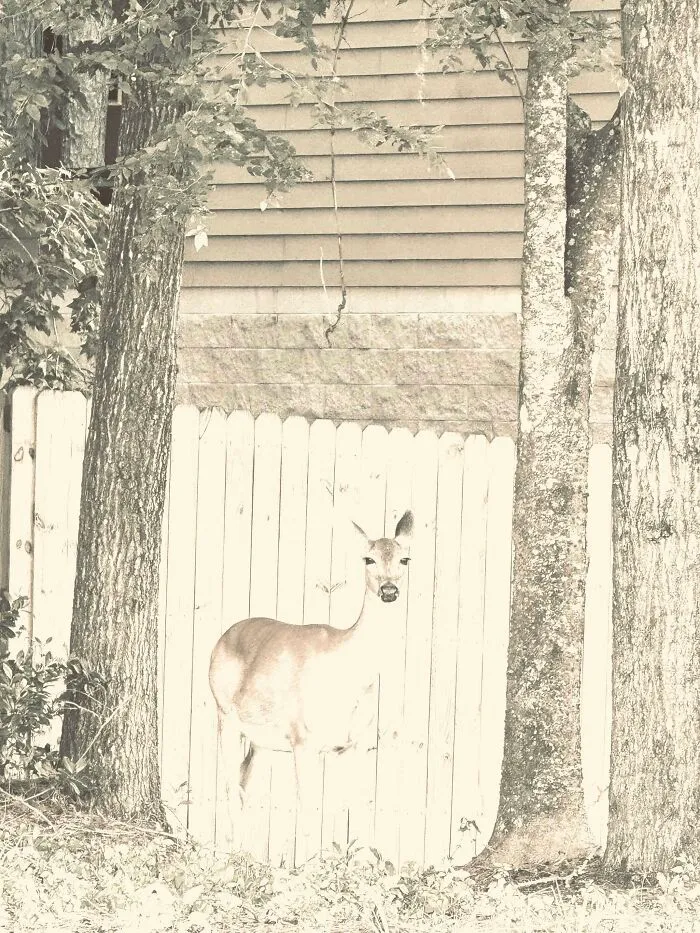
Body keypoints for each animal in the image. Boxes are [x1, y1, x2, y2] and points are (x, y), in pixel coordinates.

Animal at [208, 510, 413, 840]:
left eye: (405, 559)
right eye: (368, 559)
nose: (389, 591)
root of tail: (222, 638)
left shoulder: (349, 745)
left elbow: (340, 809)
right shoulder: (303, 738)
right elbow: (307, 811)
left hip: (261, 739)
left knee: (244, 780)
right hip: (224, 713)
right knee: (230, 785)